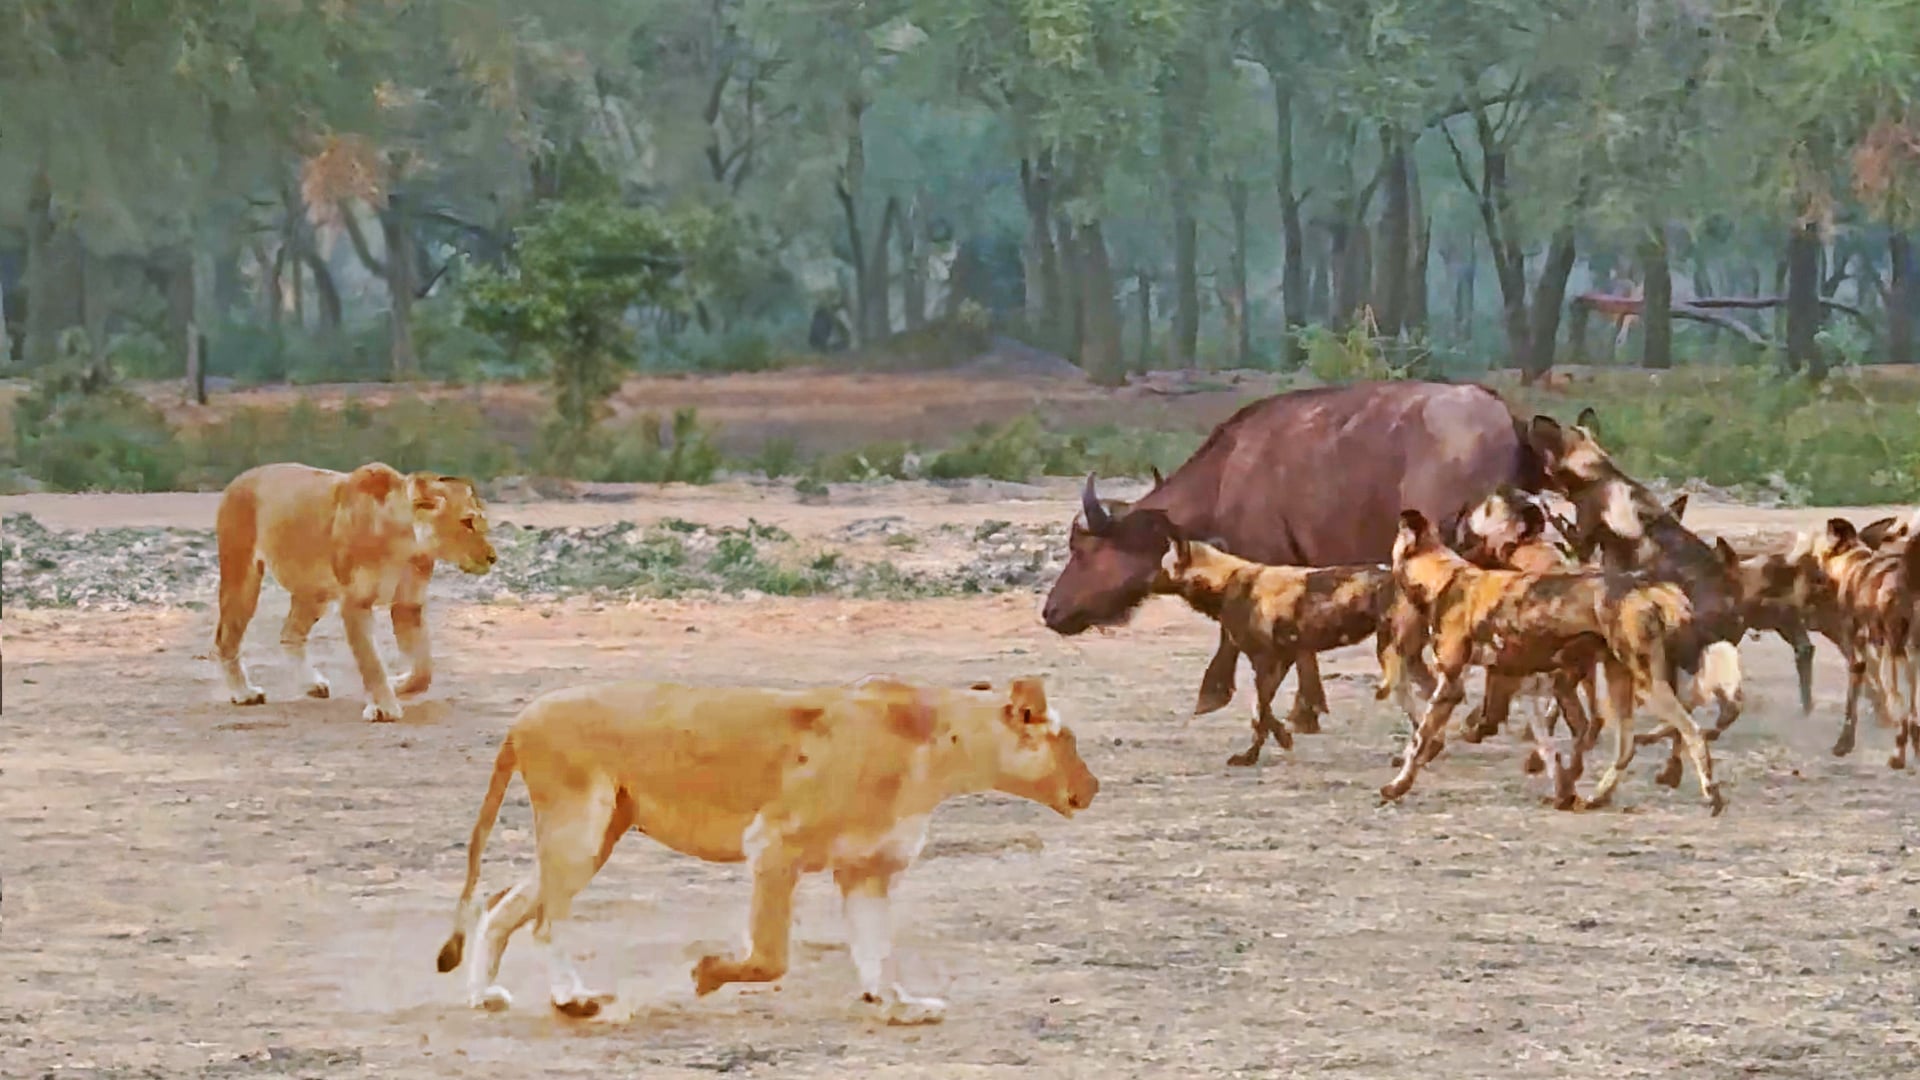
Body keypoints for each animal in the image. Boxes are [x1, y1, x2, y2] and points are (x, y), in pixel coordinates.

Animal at [212, 461, 497, 722]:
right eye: (467, 522)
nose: (493, 558)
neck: (406, 544)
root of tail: (240, 477)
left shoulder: (408, 604)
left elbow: (423, 670)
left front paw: (396, 684)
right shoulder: (355, 603)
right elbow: (371, 661)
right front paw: (383, 708)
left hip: (314, 593)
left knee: (290, 634)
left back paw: (311, 684)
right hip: (242, 576)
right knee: (226, 639)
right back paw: (244, 693)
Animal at [433, 674, 1101, 1025]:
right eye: (1066, 741)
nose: (1094, 787)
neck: (937, 750)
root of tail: (522, 718)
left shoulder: (866, 869)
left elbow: (876, 948)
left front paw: (895, 1003)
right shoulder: (774, 844)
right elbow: (772, 957)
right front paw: (707, 975)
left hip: (595, 834)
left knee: (504, 905)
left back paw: (481, 996)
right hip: (580, 825)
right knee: (546, 920)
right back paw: (572, 998)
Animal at [1041, 380, 1548, 729]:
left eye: (1081, 549)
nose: (1051, 611)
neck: (1228, 472)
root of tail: (1504, 417)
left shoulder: (1263, 563)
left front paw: (1225, 695)